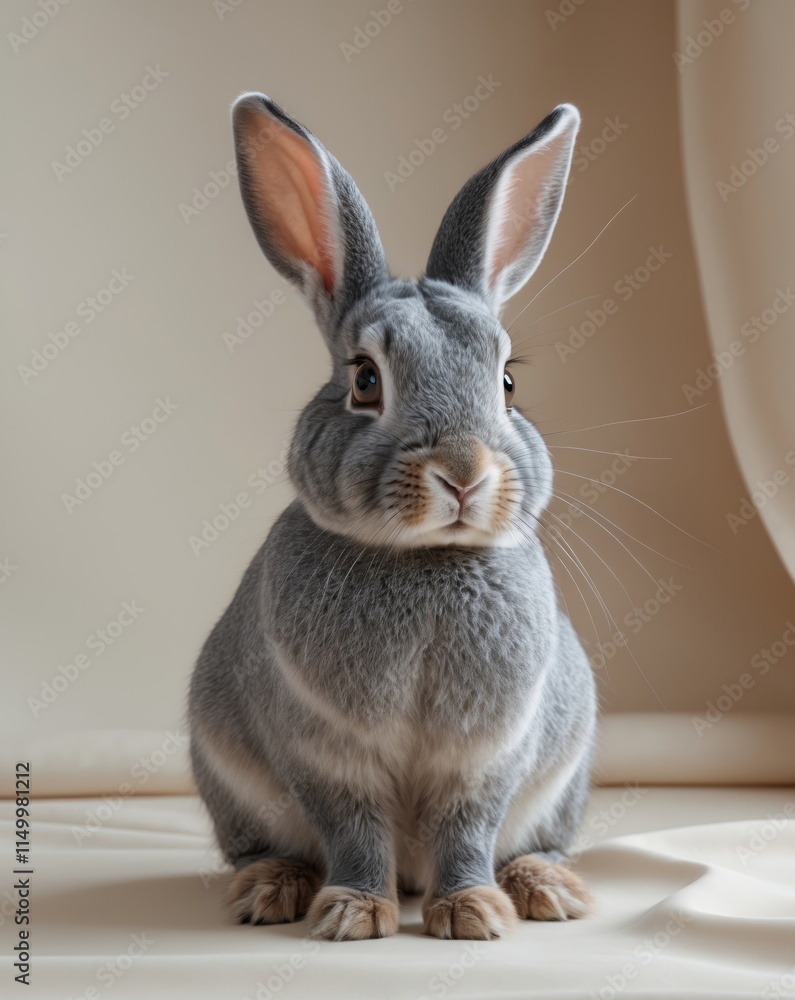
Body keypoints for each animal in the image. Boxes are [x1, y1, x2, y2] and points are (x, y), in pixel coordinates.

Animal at [188, 92, 597, 942]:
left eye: (507, 381)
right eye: (365, 380)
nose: (464, 473)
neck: (424, 559)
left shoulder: (487, 756)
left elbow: (467, 829)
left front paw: (473, 913)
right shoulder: (326, 755)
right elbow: (354, 831)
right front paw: (352, 913)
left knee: (535, 843)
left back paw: (545, 889)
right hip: (228, 784)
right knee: (260, 848)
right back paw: (273, 889)